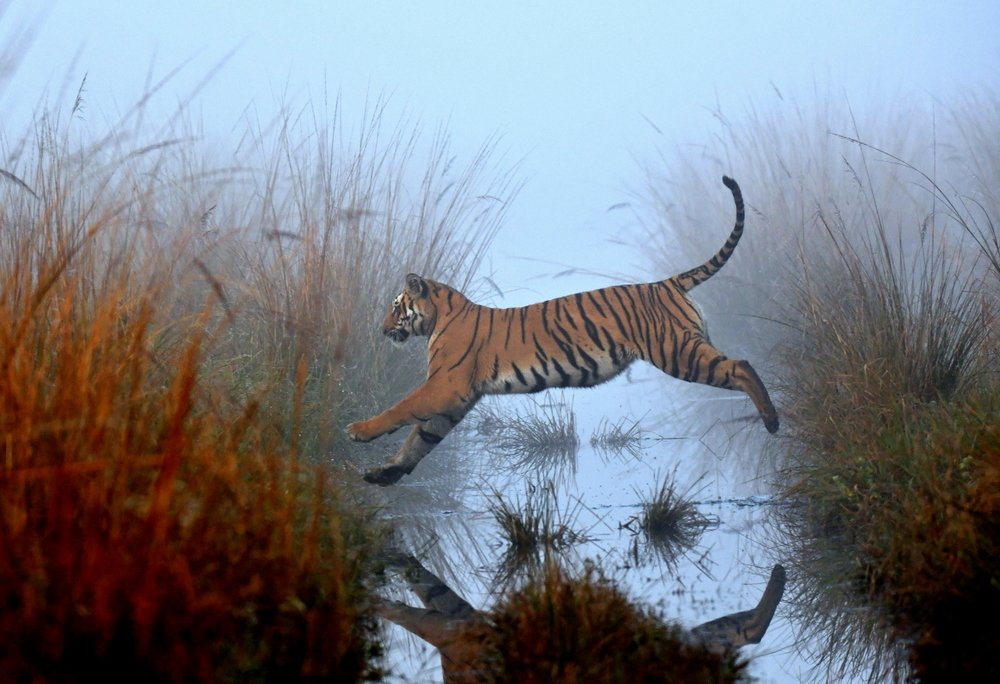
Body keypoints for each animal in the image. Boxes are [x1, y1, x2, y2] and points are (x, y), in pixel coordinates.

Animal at [348, 176, 779, 486]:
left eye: (396, 307)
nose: (381, 329)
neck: (440, 317)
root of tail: (666, 283)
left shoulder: (445, 386)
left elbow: (401, 409)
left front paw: (359, 431)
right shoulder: (456, 399)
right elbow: (419, 441)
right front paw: (383, 474)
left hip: (677, 352)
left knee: (741, 365)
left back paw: (772, 420)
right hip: (687, 346)